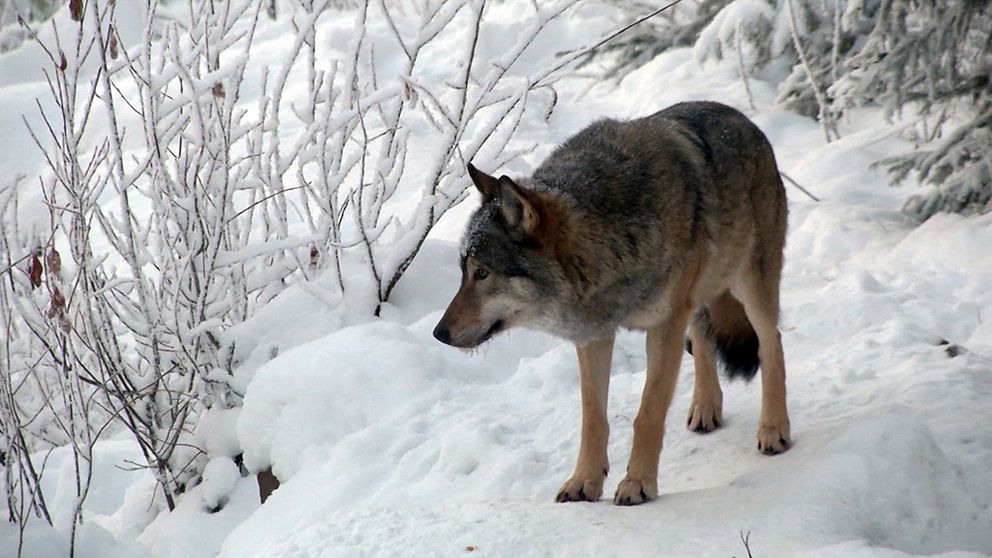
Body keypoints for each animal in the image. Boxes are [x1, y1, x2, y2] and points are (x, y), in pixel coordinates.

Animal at [434, 100, 792, 508]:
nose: (439, 333)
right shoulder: (594, 337)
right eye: (463, 271)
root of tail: (742, 118)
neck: (607, 243)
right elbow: (593, 419)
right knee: (704, 338)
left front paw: (637, 484)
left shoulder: (664, 326)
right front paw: (584, 482)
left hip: (750, 285)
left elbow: (647, 414)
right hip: (699, 298)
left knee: (771, 342)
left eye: (482, 273)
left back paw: (774, 429)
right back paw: (705, 409)